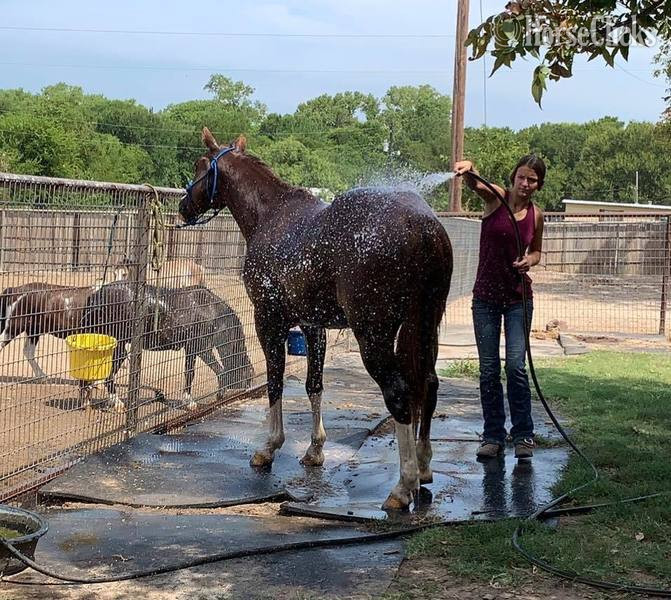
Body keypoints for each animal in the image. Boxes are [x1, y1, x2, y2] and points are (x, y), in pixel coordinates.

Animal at [81, 282, 253, 412]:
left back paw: (88, 400)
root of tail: (96, 296)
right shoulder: (201, 348)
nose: (249, 391)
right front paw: (207, 399)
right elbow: (216, 372)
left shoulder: (191, 349)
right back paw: (116, 403)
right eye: (249, 374)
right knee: (108, 374)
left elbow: (190, 373)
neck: (211, 310)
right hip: (117, 345)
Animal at [178, 128, 453, 510]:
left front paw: (269, 447)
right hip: (424, 327)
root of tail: (423, 226)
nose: (183, 206)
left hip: (375, 336)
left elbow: (275, 383)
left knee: (399, 394)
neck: (271, 214)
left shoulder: (269, 321)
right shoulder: (312, 325)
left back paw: (403, 486)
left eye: (200, 166)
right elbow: (313, 386)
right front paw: (315, 449)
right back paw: (424, 467)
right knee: (428, 383)